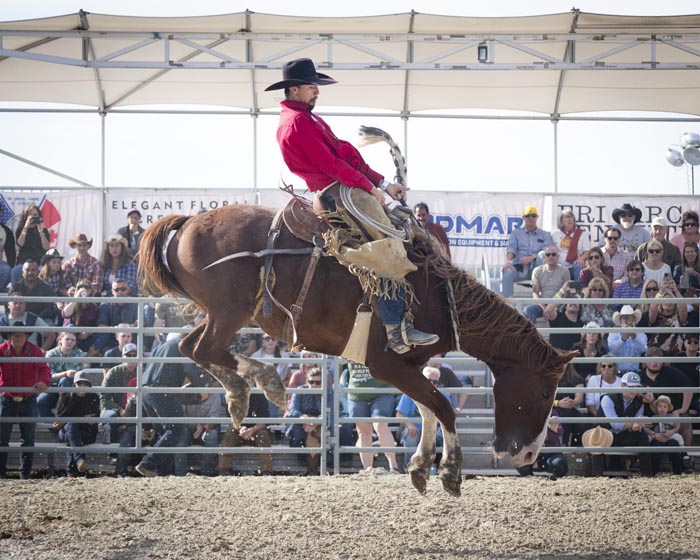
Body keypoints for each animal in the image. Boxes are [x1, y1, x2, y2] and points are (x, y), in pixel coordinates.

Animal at [138, 205, 576, 494]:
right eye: (544, 393)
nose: (527, 454)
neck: (437, 296)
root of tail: (188, 222)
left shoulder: (410, 365)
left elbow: (427, 408)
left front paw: (420, 466)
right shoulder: (387, 364)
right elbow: (443, 406)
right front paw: (450, 471)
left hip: (222, 312)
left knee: (192, 346)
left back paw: (239, 394)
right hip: (230, 310)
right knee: (205, 347)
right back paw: (265, 383)